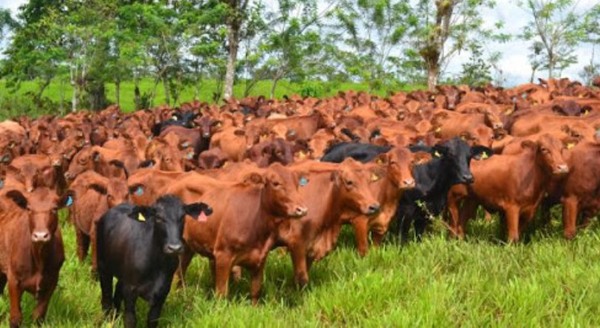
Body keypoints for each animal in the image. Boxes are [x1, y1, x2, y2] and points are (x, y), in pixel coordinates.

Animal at [0, 188, 65, 326]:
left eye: (55, 208)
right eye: (29, 208)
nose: (40, 235)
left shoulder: (52, 280)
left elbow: (38, 315)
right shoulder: (13, 278)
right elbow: (16, 317)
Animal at [96, 195, 211, 328]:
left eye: (182, 217)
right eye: (159, 218)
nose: (174, 248)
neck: (157, 264)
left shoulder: (162, 292)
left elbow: (152, 320)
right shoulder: (130, 290)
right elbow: (130, 320)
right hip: (103, 267)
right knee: (106, 299)